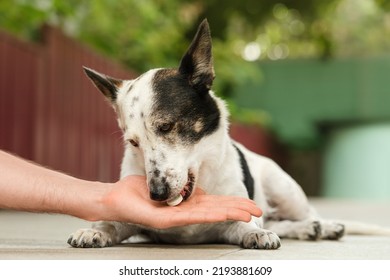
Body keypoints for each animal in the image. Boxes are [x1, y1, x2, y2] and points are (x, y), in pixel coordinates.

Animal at [68, 19, 344, 249]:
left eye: (166, 127)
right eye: (133, 142)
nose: (156, 194)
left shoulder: (235, 216)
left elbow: (246, 224)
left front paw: (255, 233)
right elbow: (110, 222)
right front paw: (94, 230)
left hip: (284, 189)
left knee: (307, 214)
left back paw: (324, 226)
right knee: (280, 222)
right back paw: (307, 229)